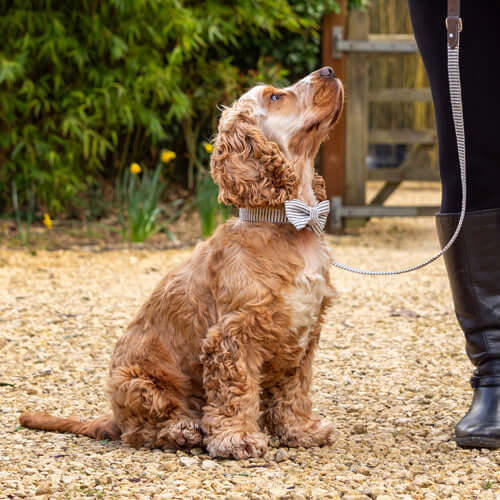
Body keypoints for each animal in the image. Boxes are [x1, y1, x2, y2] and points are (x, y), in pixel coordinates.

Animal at [21, 67, 346, 460]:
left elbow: (294, 391)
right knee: (143, 431)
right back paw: (183, 431)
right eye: (274, 97)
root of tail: (113, 416)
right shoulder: (233, 336)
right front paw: (237, 438)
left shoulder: (304, 333)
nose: (329, 70)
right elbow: (236, 393)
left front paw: (300, 430)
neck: (288, 224)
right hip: (139, 382)